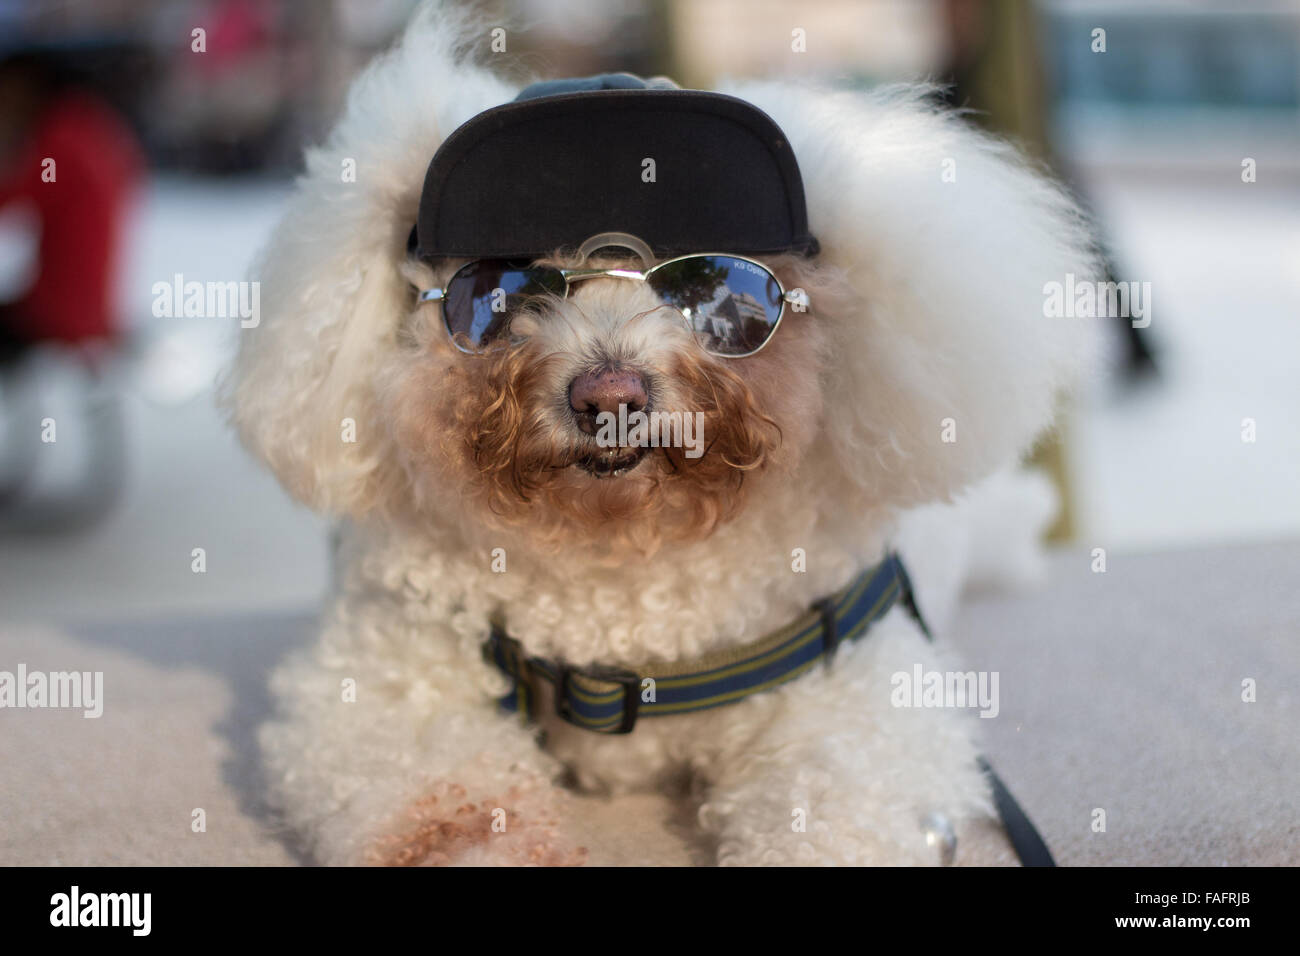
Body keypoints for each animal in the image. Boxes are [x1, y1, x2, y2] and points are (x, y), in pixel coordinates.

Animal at [223, 1, 1097, 868]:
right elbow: (444, 806)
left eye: (714, 287)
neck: (623, 572)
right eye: (500, 291)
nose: (608, 395)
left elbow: (836, 805)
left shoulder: (850, 695)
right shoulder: (391, 675)